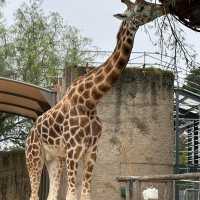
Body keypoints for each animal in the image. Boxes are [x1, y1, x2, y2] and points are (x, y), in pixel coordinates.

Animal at [25, 0, 168, 199]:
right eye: (140, 8)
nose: (163, 8)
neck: (90, 100)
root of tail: (29, 134)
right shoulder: (73, 150)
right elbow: (71, 194)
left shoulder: (92, 151)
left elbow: (85, 193)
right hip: (34, 156)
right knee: (34, 194)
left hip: (55, 159)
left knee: (50, 194)